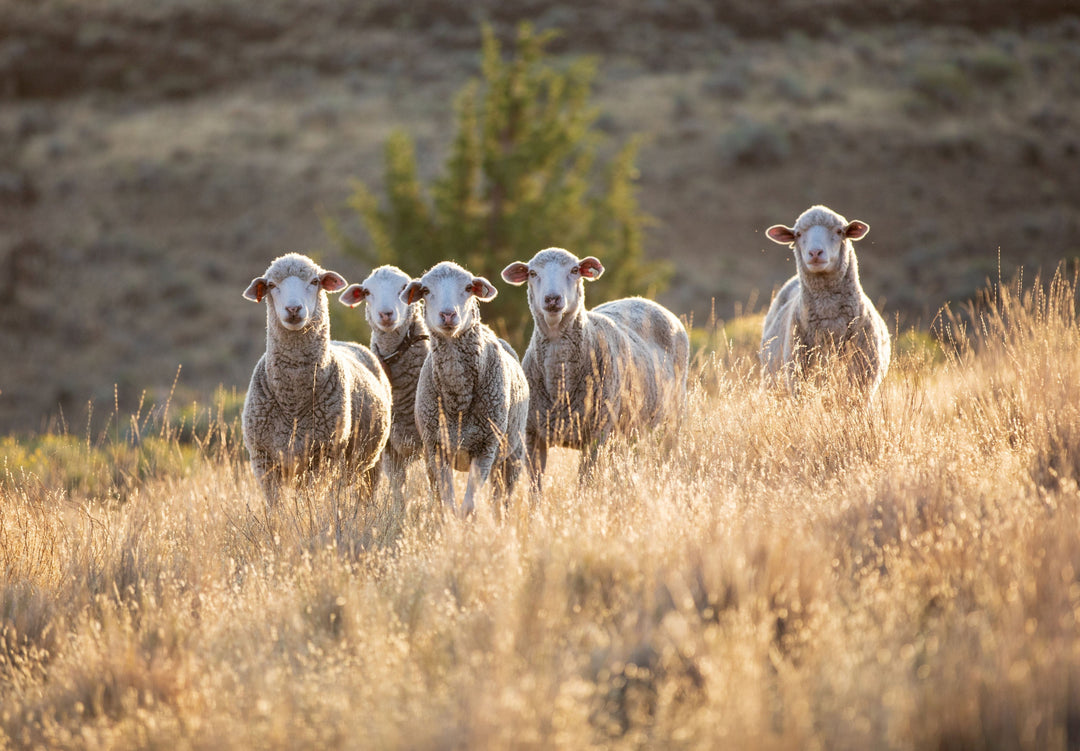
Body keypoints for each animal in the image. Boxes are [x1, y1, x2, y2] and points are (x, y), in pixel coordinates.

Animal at [241, 252, 391, 505]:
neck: (293, 399)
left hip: (371, 462)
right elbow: (277, 508)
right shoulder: (264, 461)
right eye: (271, 285)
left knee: (363, 495)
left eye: (314, 282)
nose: (293, 308)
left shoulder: (324, 456)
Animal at [401, 261, 529, 517]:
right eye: (426, 290)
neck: (458, 397)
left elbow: (469, 505)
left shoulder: (486, 447)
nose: (448, 314)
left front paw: (465, 522)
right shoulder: (437, 447)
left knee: (501, 499)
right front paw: (450, 522)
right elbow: (448, 502)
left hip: (512, 455)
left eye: (469, 287)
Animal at [501, 247, 690, 490]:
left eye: (574, 270)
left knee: (667, 455)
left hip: (672, 417)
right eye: (532, 273)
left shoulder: (596, 435)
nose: (552, 299)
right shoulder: (532, 435)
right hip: (631, 428)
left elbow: (585, 481)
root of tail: (642, 299)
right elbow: (536, 486)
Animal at [759, 204, 891, 397]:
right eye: (798, 234)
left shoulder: (862, 383)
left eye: (839, 231)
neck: (830, 320)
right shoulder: (799, 381)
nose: (815, 253)